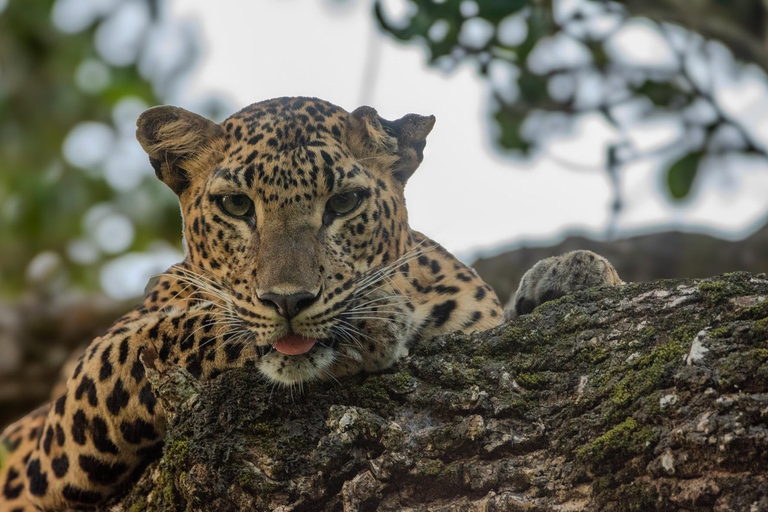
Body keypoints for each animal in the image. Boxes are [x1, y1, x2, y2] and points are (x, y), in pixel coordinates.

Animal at [0, 98, 620, 510]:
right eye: (235, 206)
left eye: (343, 203)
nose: (289, 300)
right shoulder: (83, 388)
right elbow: (187, 327)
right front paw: (367, 326)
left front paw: (575, 273)